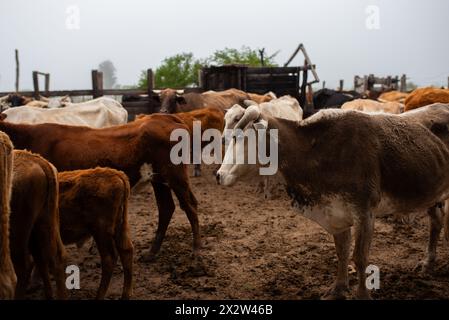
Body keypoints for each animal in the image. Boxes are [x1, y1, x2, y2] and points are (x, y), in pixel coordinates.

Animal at [0, 112, 198, 262]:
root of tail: (165, 117)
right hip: (158, 179)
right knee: (166, 208)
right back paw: (151, 253)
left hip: (175, 175)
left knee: (190, 206)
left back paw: (197, 252)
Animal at [57, 168, 133, 300]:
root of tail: (117, 174)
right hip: (119, 226)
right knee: (126, 251)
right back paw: (125, 296)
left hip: (101, 231)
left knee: (109, 258)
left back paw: (99, 296)